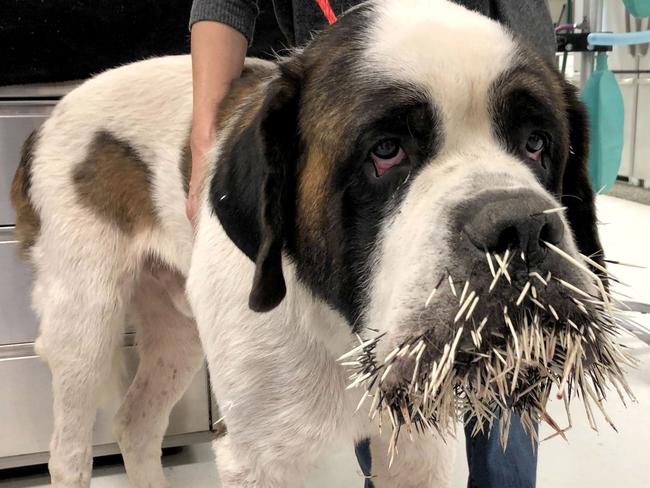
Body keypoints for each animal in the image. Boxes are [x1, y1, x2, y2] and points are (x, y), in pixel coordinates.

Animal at [12, 0, 604, 488]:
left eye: (537, 143)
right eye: (386, 151)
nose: (521, 226)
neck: (340, 328)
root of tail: (50, 118)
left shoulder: (414, 449)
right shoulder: (258, 459)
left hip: (177, 332)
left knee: (136, 423)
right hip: (85, 324)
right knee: (70, 450)